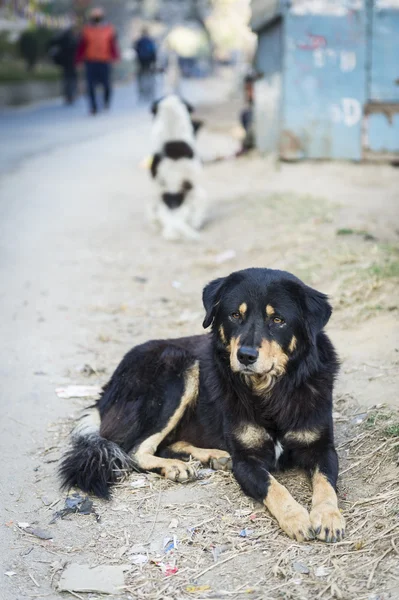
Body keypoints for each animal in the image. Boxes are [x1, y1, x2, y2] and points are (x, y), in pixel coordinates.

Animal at [60, 270, 346, 540]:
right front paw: (296, 517)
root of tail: (107, 388)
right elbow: (274, 486)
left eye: (278, 320)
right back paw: (177, 466)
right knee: (134, 450)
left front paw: (327, 516)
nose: (245, 356)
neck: (271, 390)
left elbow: (325, 484)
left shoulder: (322, 449)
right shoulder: (246, 462)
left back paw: (212, 456)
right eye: (235, 315)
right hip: (177, 368)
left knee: (165, 444)